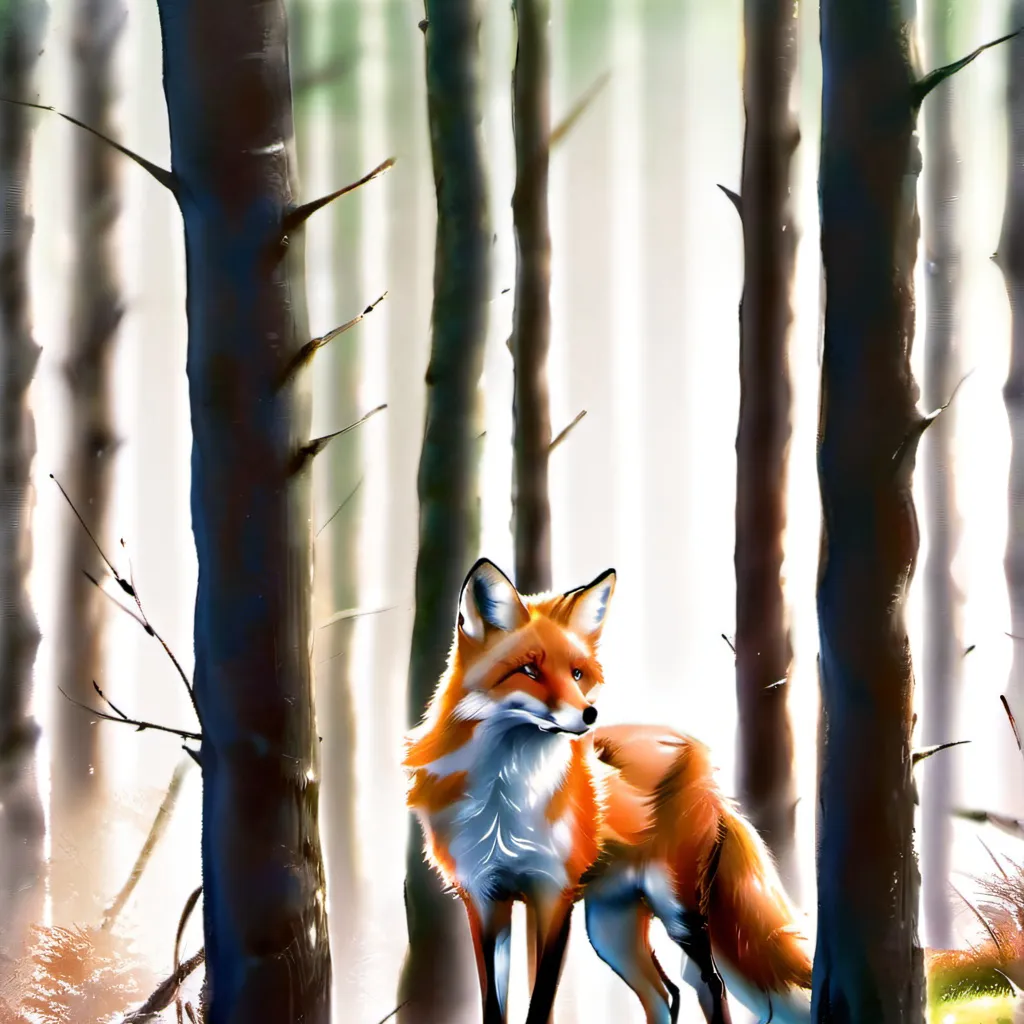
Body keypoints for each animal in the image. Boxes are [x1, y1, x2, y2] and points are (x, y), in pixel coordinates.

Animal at [403, 558, 813, 1024]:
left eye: (577, 674)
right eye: (529, 671)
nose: (589, 714)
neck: (506, 799)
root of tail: (702, 759)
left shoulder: (553, 895)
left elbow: (540, 1005)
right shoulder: (484, 899)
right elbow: (494, 1007)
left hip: (677, 909)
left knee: (708, 984)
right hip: (609, 928)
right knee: (666, 994)